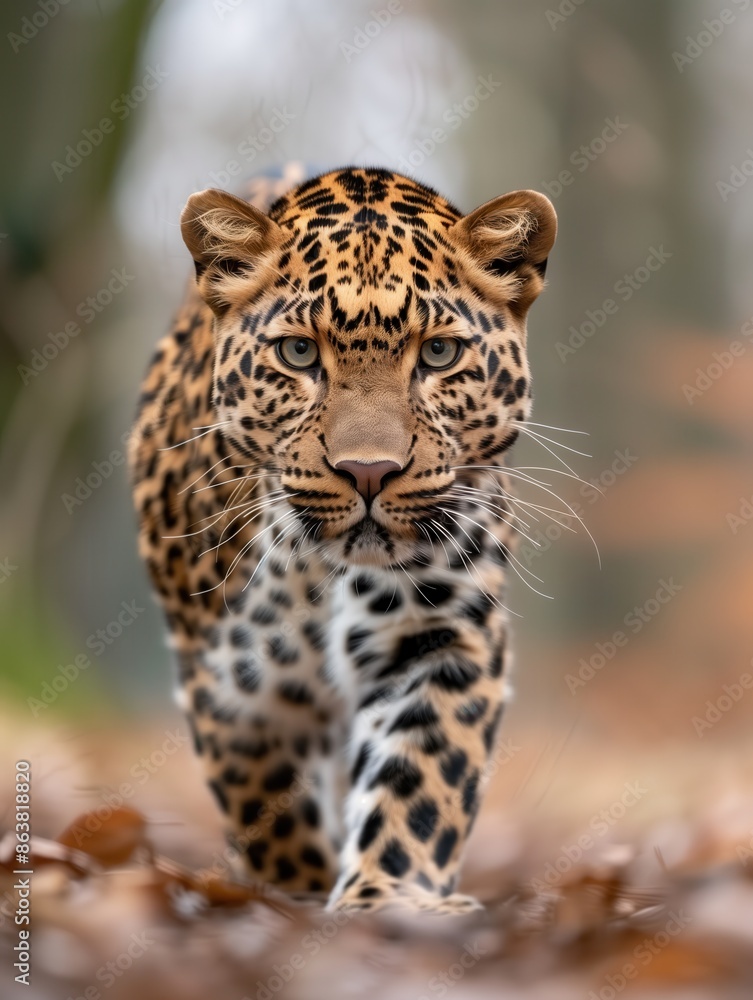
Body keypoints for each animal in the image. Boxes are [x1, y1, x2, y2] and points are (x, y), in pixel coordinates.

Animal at [128, 163, 557, 914]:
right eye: (299, 352)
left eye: (438, 352)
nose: (368, 472)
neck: (316, 573)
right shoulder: (232, 688)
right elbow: (270, 814)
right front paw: (298, 895)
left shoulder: (444, 639)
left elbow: (418, 781)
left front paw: (387, 898)